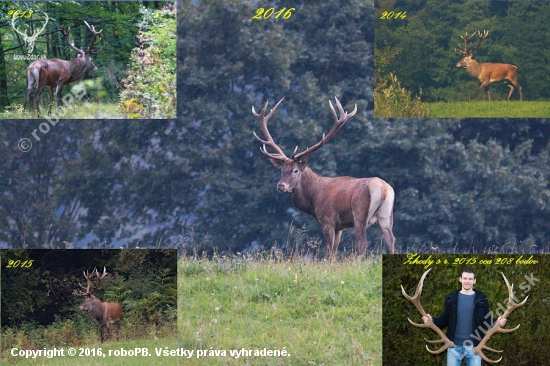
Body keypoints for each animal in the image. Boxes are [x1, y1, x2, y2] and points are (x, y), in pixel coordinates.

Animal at [254, 96, 396, 258]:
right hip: (386, 214)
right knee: (391, 240)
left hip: (360, 211)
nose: (281, 186)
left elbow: (328, 250)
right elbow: (334, 250)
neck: (314, 197)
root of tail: (383, 189)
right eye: (282, 170)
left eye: (295, 171)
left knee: (362, 243)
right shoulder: (340, 226)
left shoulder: (327, 219)